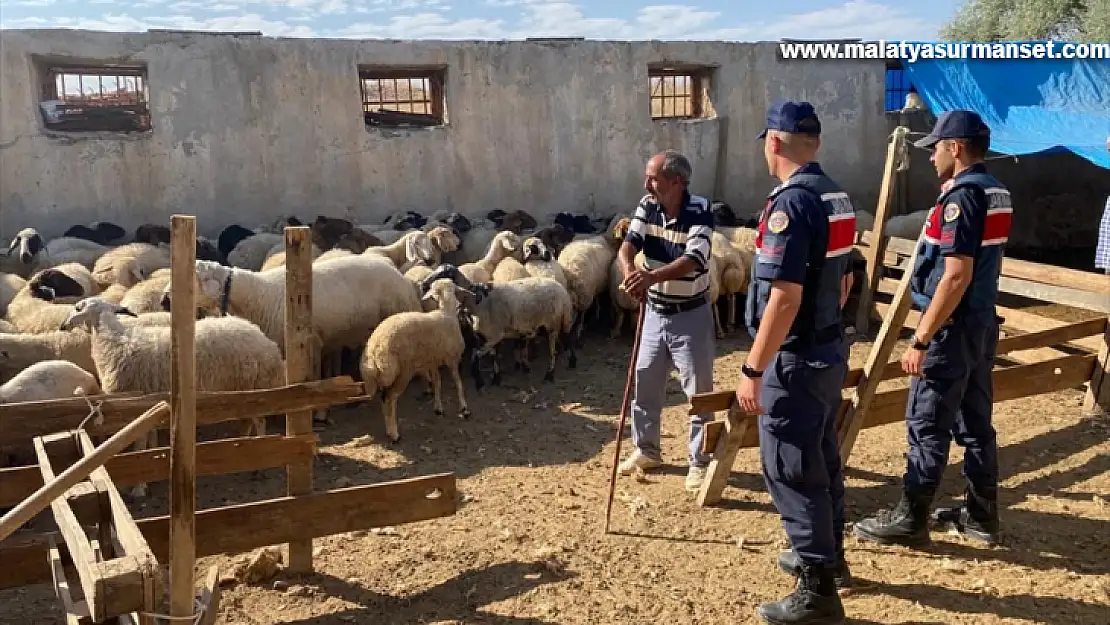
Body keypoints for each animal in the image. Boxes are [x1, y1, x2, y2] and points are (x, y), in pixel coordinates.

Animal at [59, 297, 286, 499]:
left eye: (77, 307)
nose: (63, 325)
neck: (113, 341)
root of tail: (265, 341)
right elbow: (150, 442)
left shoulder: (137, 407)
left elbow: (140, 446)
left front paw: (139, 487)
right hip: (240, 390)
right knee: (248, 419)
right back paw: (242, 445)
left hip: (254, 385)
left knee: (260, 421)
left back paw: (258, 465)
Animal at [359, 278, 472, 444]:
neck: (446, 312)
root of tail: (375, 350)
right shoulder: (452, 358)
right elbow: (458, 382)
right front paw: (464, 408)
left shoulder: (432, 361)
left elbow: (437, 383)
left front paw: (438, 408)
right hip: (402, 371)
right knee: (390, 398)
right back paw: (394, 434)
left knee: (384, 398)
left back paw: (389, 431)